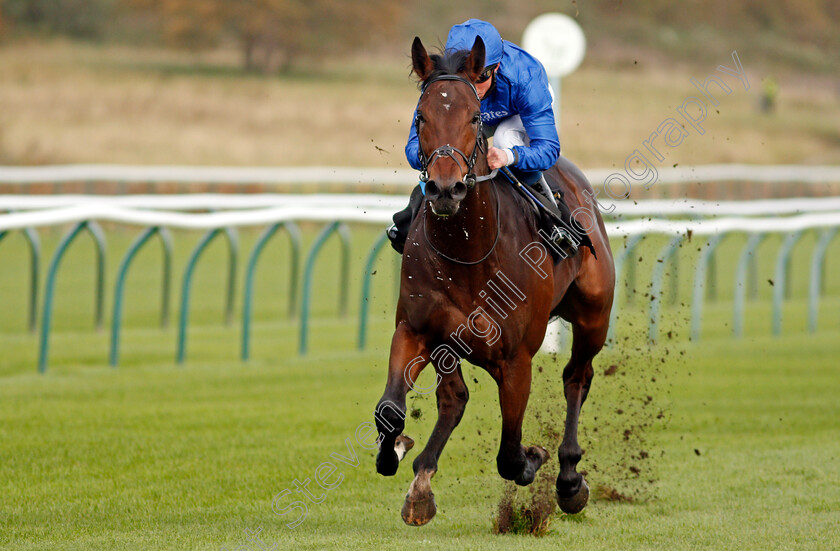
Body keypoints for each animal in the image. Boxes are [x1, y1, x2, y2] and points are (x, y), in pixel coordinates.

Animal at [376, 36, 616, 528]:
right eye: (420, 116)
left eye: (473, 116)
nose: (444, 189)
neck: (470, 251)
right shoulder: (416, 329)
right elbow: (390, 409)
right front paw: (394, 452)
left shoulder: (516, 358)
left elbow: (509, 455)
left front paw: (535, 458)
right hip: (450, 343)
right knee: (455, 398)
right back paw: (421, 481)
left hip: (593, 317)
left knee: (576, 377)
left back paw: (569, 479)